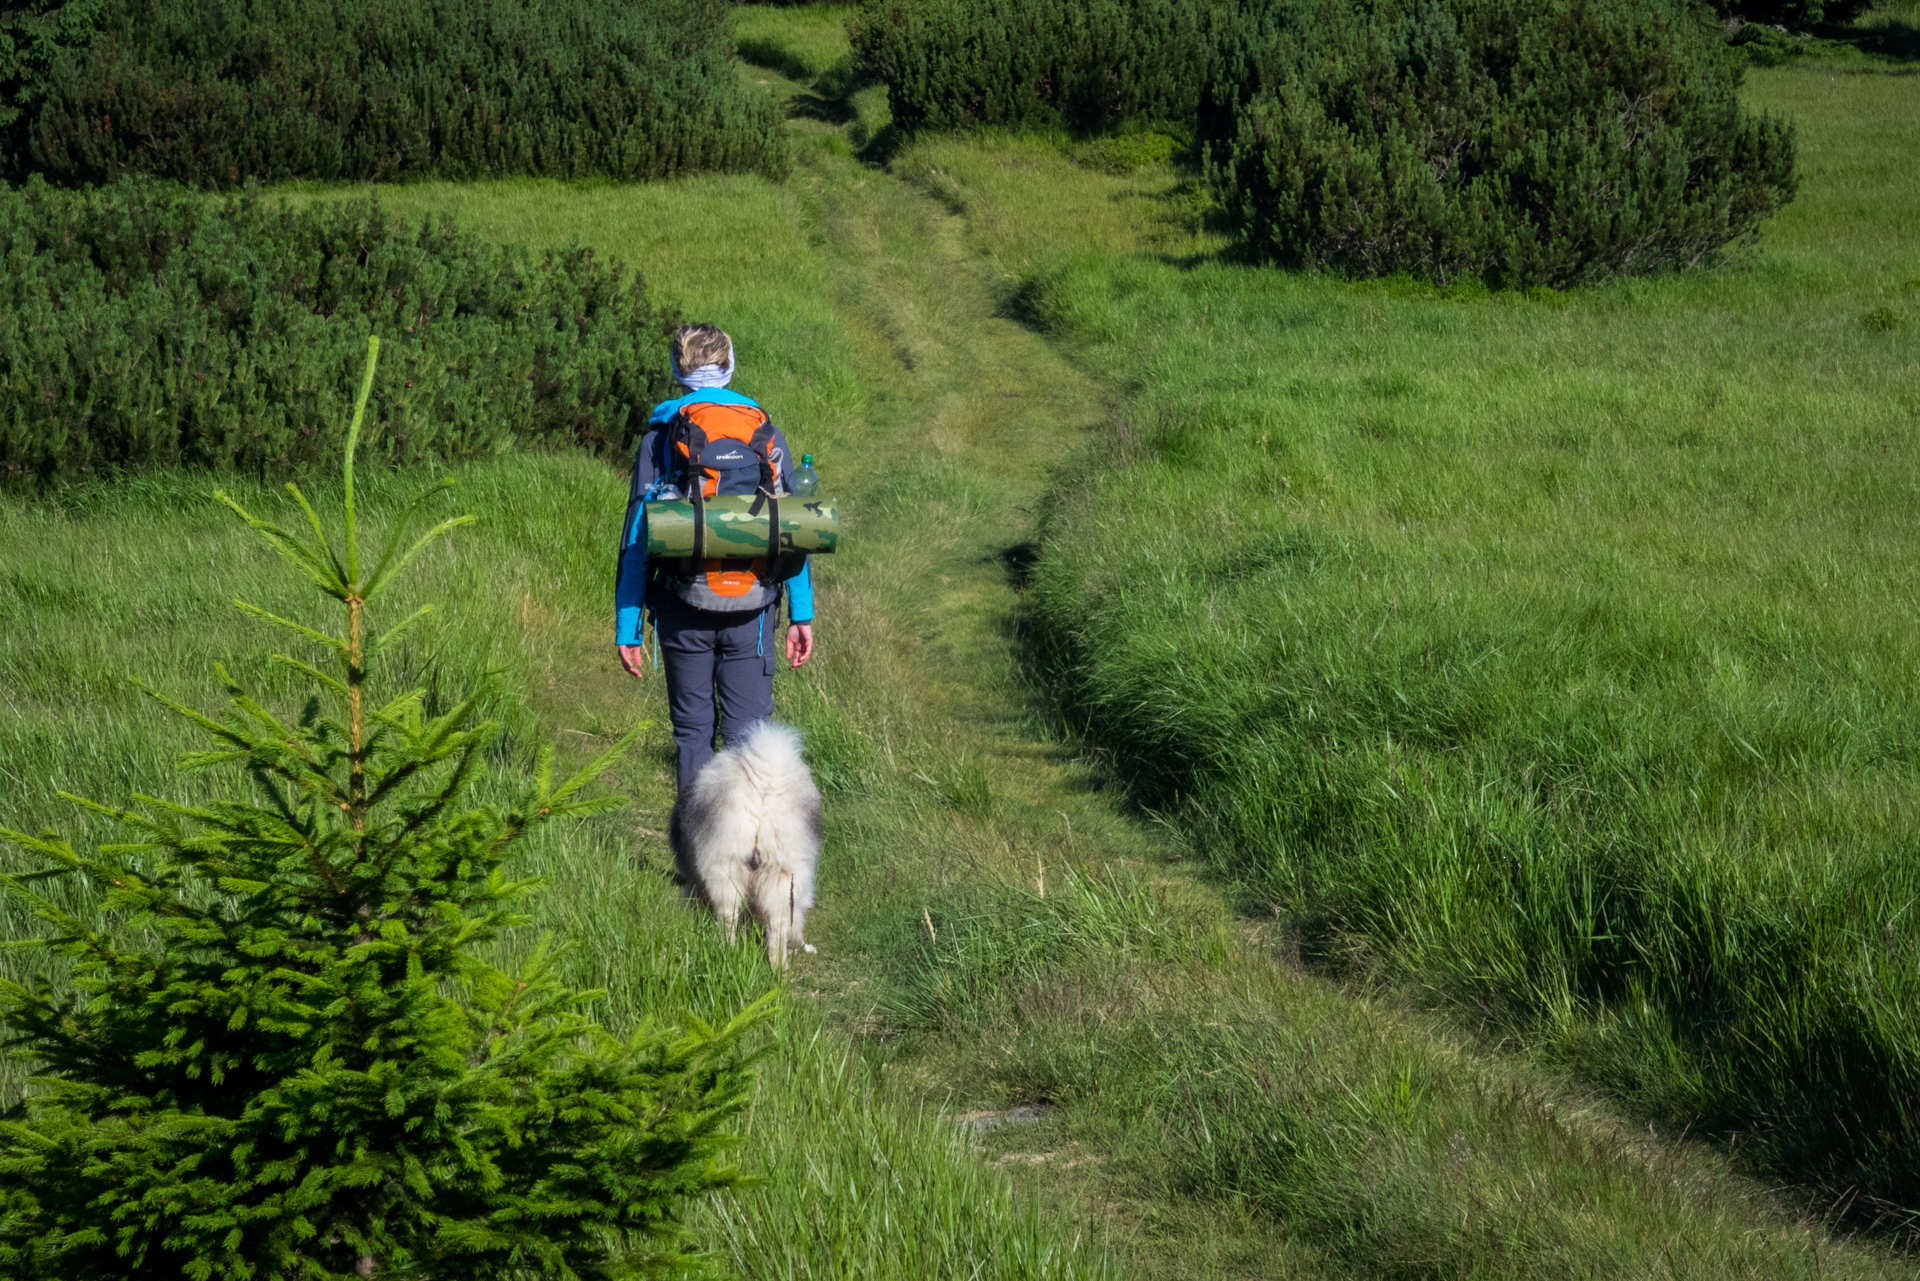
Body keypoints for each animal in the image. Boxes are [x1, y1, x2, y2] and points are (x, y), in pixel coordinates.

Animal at [672, 725, 821, 967]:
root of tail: (765, 785)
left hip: (726, 868)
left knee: (728, 918)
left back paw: (726, 950)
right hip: (781, 873)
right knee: (776, 928)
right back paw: (778, 968)